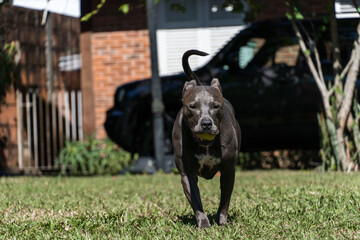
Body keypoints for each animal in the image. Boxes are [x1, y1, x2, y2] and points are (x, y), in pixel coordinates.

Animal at [172, 49, 242, 229]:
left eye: (216, 106)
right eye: (192, 106)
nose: (206, 123)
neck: (205, 144)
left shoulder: (228, 170)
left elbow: (225, 200)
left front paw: (222, 221)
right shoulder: (187, 173)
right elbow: (196, 200)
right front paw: (203, 223)